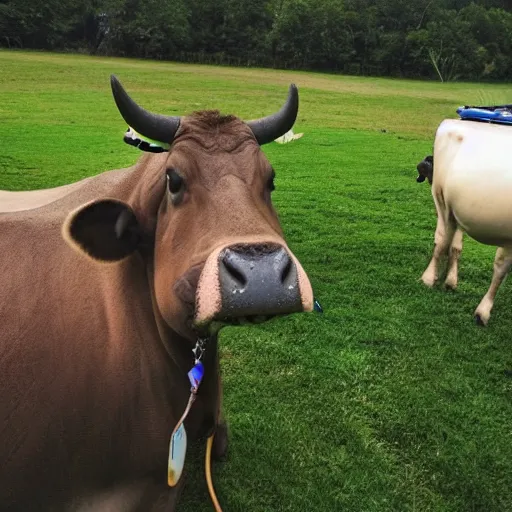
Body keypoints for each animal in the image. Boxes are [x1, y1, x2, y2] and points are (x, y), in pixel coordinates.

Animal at [420, 119, 512, 326]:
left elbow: (501, 269)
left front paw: (483, 312)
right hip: (440, 197)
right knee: (441, 240)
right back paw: (429, 278)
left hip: (456, 210)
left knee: (452, 242)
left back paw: (449, 280)